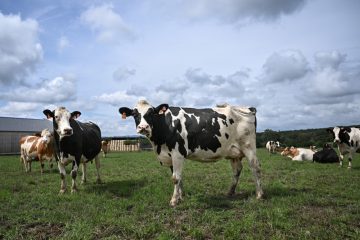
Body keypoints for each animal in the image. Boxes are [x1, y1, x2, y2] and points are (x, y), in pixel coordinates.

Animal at [119, 99, 262, 206]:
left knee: (255, 168)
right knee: (237, 170)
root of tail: (248, 108)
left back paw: (259, 195)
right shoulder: (170, 156)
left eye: (152, 113)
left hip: (249, 147)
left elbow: (175, 178)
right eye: (134, 114)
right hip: (233, 152)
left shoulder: (178, 153)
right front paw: (181, 197)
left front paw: (173, 201)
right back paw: (230, 192)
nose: (143, 127)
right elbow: (179, 178)